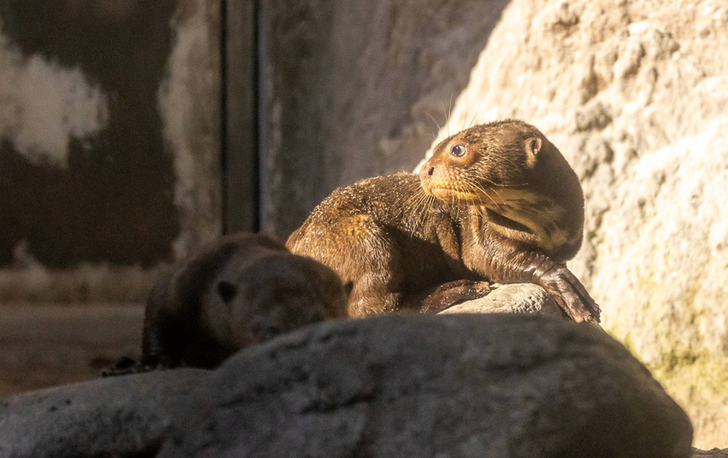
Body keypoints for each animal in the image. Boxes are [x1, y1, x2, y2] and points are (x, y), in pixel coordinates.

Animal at [288, 120, 600, 324]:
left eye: (457, 150)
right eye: (436, 147)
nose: (425, 169)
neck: (545, 227)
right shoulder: (481, 233)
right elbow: (492, 257)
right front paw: (569, 290)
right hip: (363, 238)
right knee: (374, 309)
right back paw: (459, 289)